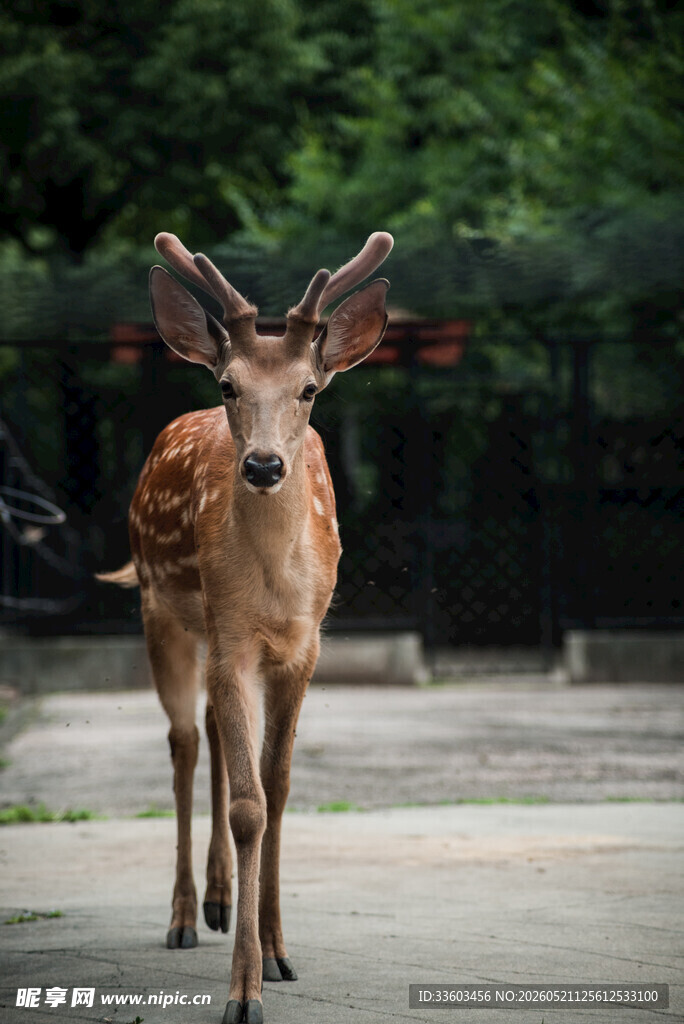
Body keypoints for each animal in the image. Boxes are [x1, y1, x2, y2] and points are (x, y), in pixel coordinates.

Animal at [98, 230, 393, 1024]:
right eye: (228, 385)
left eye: (309, 389)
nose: (262, 465)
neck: (272, 587)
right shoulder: (231, 640)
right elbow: (247, 805)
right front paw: (243, 992)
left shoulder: (300, 646)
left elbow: (278, 787)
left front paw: (279, 951)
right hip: (163, 611)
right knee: (184, 742)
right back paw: (182, 915)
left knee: (214, 739)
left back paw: (226, 903)